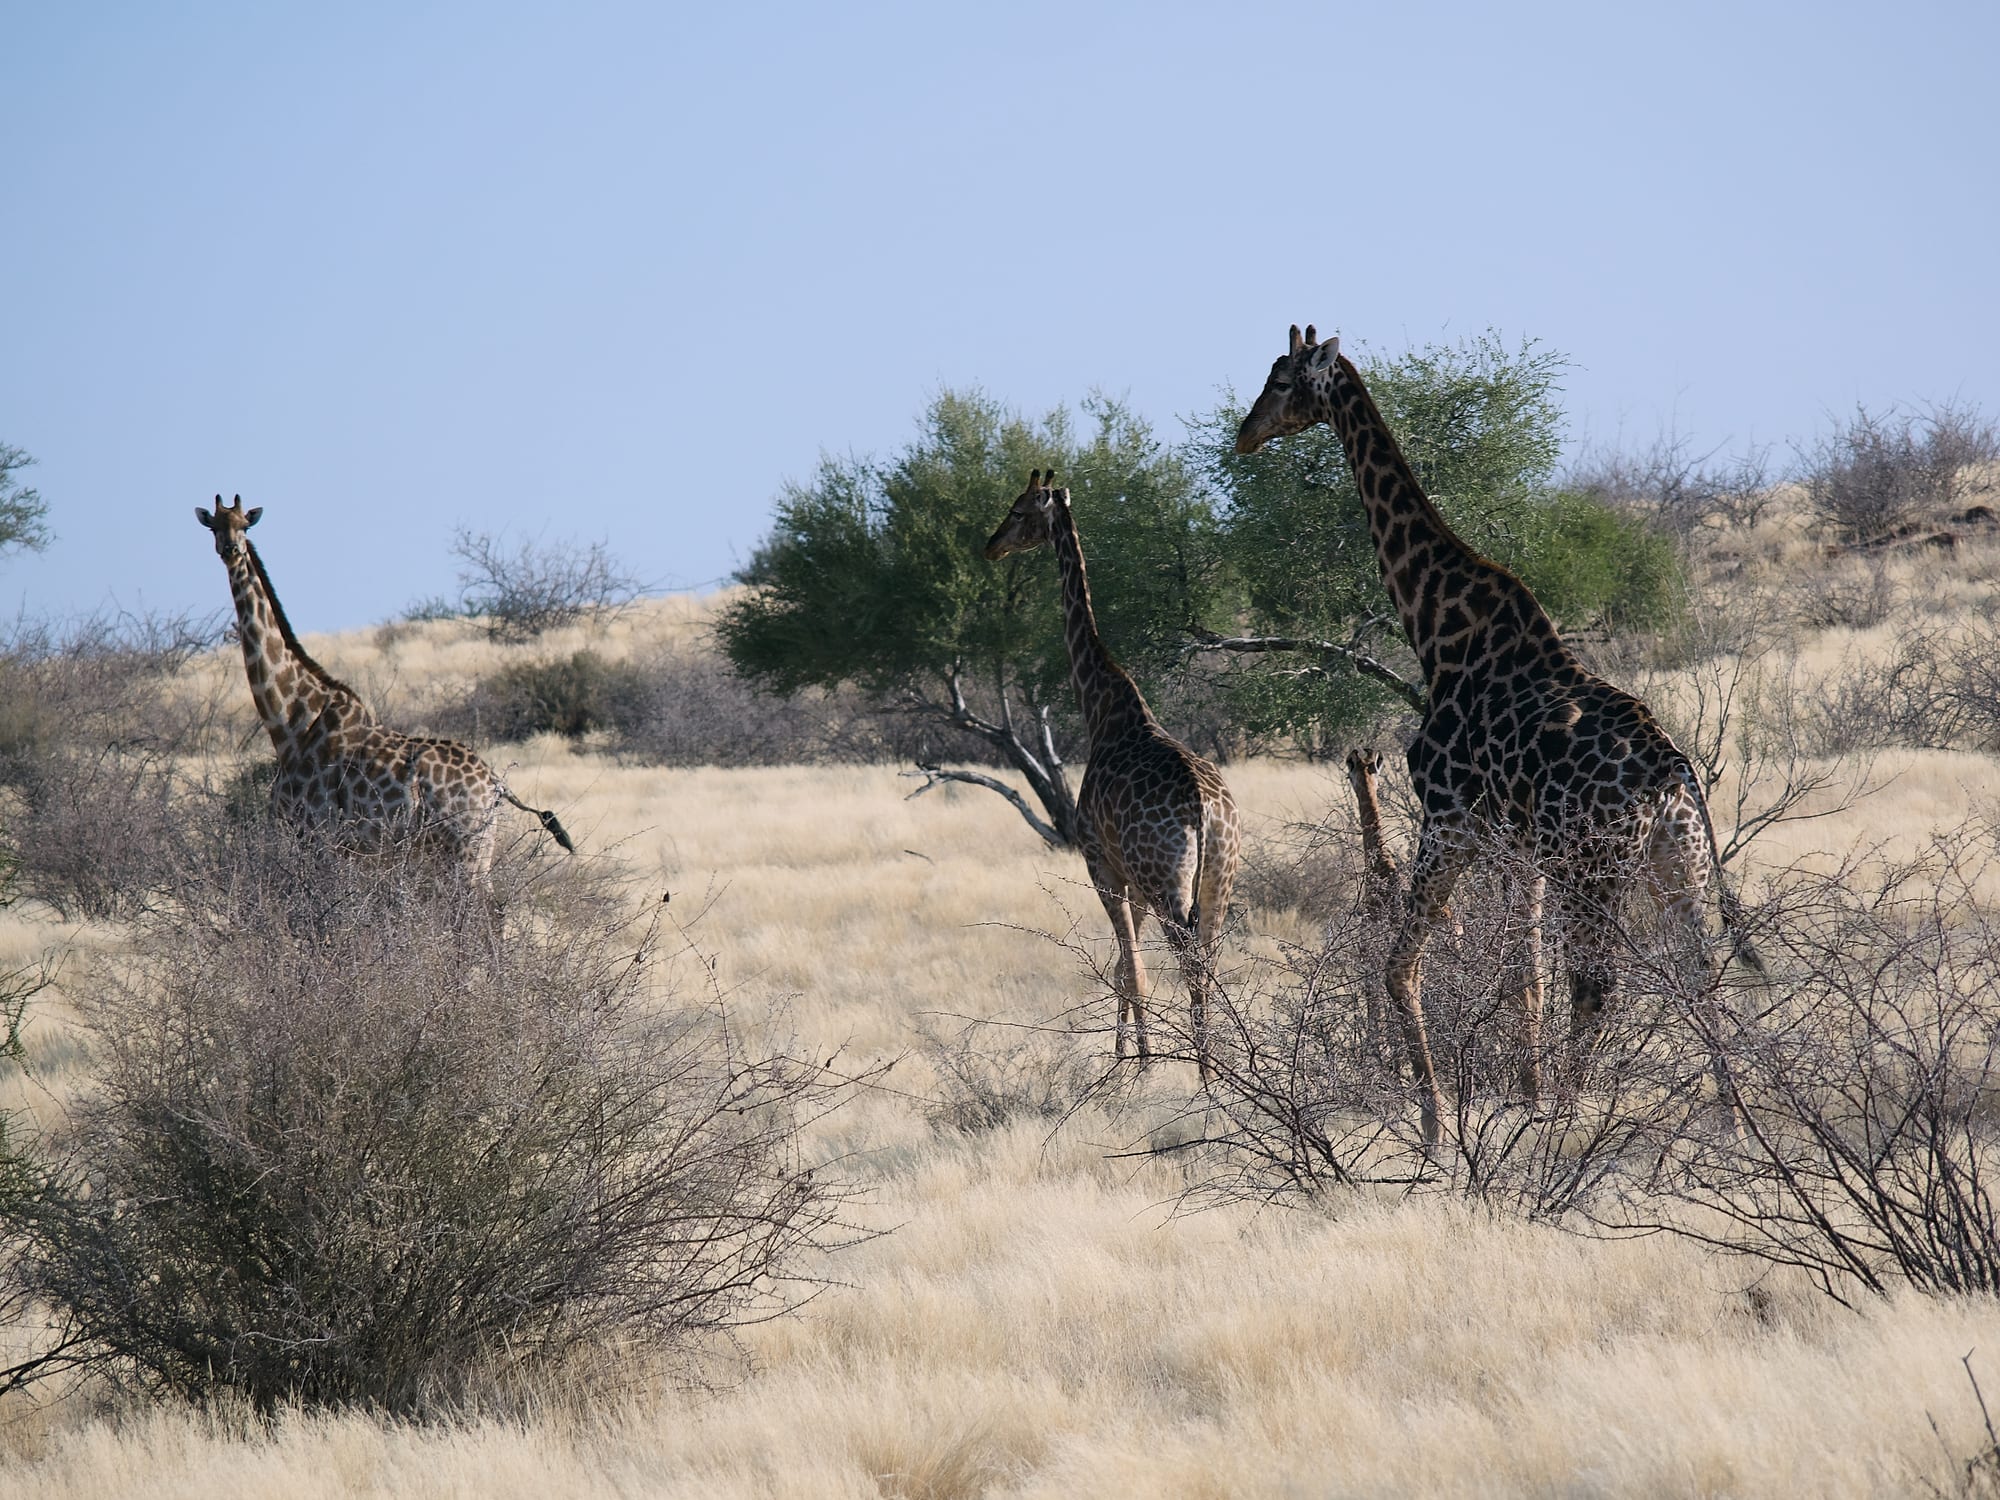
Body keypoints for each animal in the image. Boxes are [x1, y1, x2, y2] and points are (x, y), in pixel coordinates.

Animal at [195, 496, 574, 886]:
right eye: (215, 527)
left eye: (244, 525)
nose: (231, 550)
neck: (292, 722)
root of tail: (496, 784)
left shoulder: (319, 835)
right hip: (478, 849)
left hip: (465, 850)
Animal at [984, 470, 1241, 1079]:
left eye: (1018, 509)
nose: (989, 546)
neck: (1102, 707)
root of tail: (1205, 810)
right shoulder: (1133, 882)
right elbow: (1127, 964)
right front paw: (1126, 1053)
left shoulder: (1101, 864)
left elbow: (1131, 965)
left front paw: (1137, 1065)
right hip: (1218, 879)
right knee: (1210, 961)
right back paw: (1221, 1066)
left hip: (1169, 882)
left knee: (1188, 962)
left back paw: (1205, 1074)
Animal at [1237, 328, 1755, 1143]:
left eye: (1284, 378)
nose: (1244, 433)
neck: (1436, 626)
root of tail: (1673, 772)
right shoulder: (1516, 844)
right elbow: (1522, 976)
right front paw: (1523, 1096)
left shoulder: (1451, 819)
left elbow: (1403, 964)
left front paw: (1436, 1117)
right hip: (1679, 863)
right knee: (1700, 972)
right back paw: (1733, 1123)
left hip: (1594, 867)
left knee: (1600, 983)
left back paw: (1572, 1127)